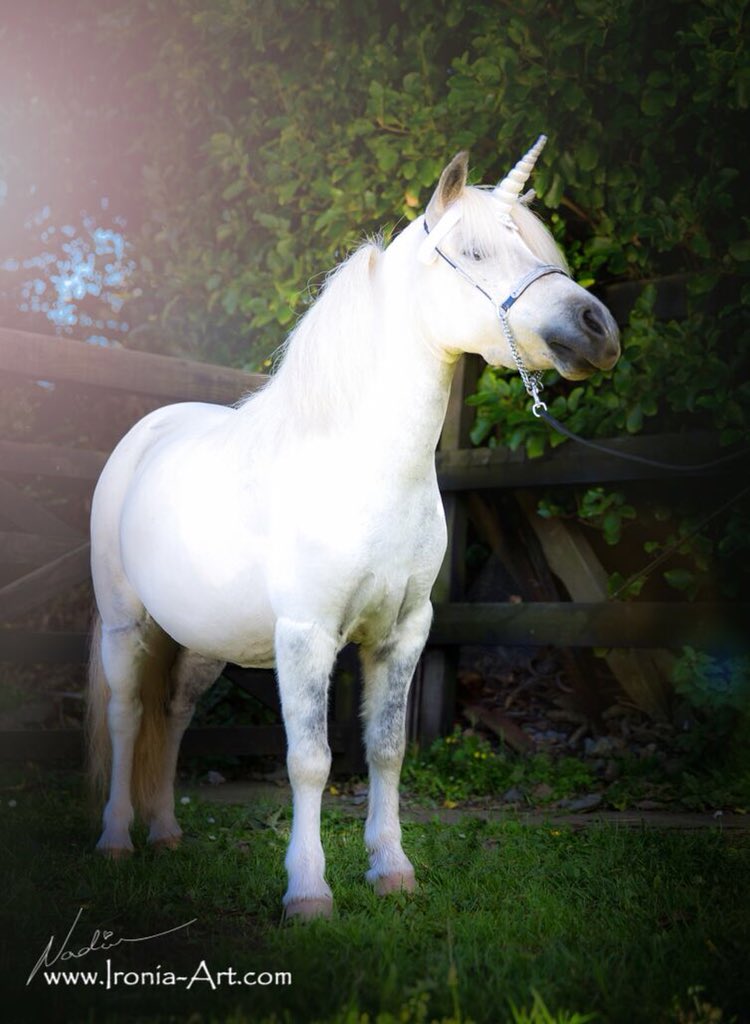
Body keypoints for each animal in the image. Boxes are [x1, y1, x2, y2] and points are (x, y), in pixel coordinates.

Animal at [86, 136, 620, 920]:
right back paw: (117, 841)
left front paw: (391, 869)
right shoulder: (307, 636)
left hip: (202, 641)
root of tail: (146, 434)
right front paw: (308, 892)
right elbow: (310, 761)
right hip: (128, 627)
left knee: (174, 717)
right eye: (475, 251)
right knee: (127, 716)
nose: (597, 330)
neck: (365, 470)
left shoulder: (404, 634)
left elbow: (386, 749)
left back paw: (167, 834)